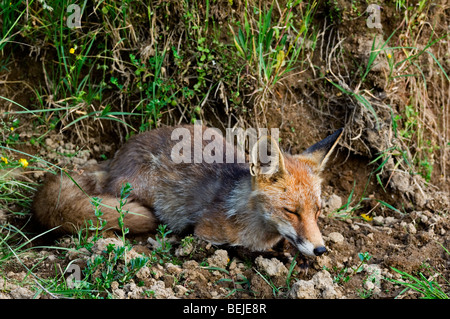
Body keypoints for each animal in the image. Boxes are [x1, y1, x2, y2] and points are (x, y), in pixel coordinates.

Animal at [31, 125, 342, 258]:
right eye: (291, 211)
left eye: (317, 212)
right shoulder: (206, 234)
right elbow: (239, 250)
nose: (321, 250)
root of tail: (117, 156)